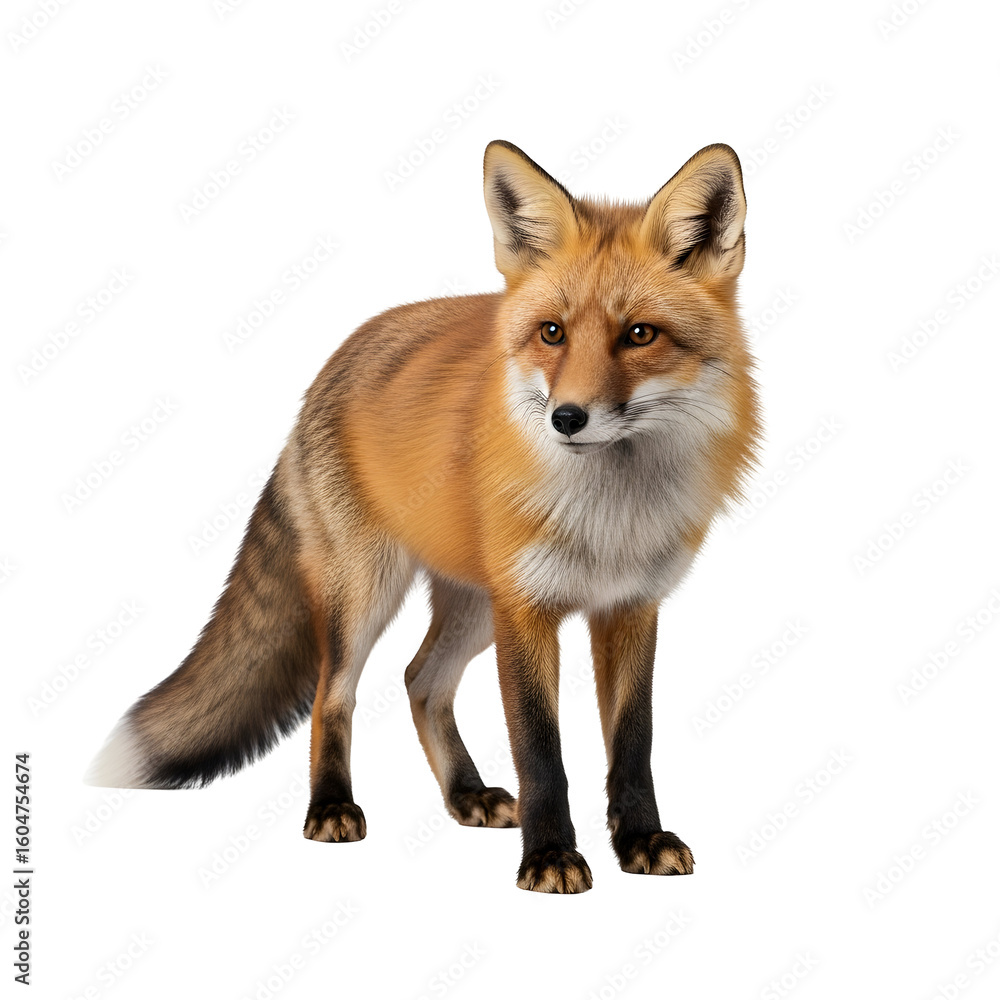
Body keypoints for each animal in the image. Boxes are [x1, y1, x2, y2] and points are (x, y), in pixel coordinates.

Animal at [86, 139, 760, 893]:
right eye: (552, 333)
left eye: (640, 335)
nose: (566, 418)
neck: (610, 517)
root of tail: (339, 356)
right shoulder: (527, 611)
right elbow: (540, 751)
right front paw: (549, 856)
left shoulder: (631, 607)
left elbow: (633, 742)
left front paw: (641, 839)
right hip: (368, 592)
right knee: (333, 696)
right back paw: (331, 807)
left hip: (471, 607)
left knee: (421, 681)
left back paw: (465, 793)